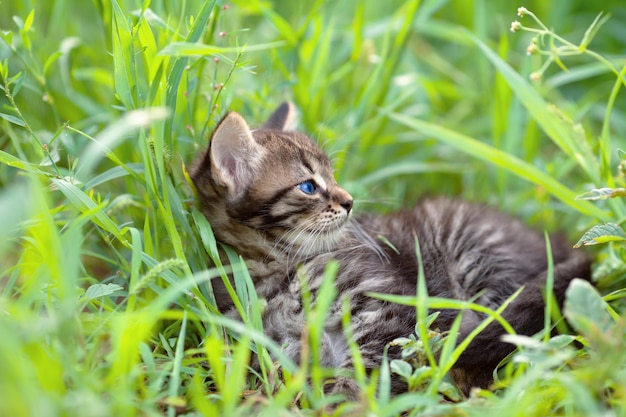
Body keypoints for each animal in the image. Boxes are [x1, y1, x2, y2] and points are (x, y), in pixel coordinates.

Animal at [190, 102, 588, 398]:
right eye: (308, 186)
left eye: (332, 176)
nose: (350, 201)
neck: (277, 266)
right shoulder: (275, 344)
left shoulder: (391, 312)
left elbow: (364, 373)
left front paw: (344, 403)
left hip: (478, 260)